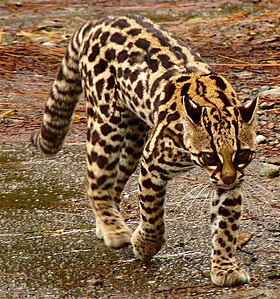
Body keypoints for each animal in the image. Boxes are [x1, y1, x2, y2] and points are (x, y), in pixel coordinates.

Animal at [31, 15, 258, 288]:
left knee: (115, 181)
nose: (228, 178)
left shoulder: (231, 182)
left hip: (135, 138)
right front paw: (146, 245)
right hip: (106, 126)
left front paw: (224, 267)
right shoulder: (153, 164)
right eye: (209, 156)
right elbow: (152, 213)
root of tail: (101, 20)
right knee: (97, 183)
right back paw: (114, 229)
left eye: (242, 154)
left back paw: (105, 223)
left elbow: (225, 225)